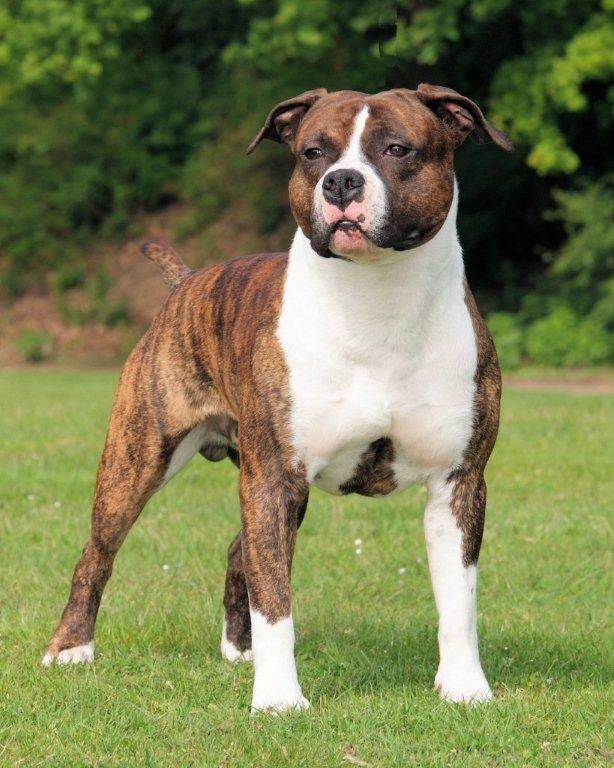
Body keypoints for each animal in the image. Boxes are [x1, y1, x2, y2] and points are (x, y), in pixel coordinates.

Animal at [43, 84, 513, 711]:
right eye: (313, 152)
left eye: (397, 148)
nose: (341, 182)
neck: (375, 301)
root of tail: (186, 280)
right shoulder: (272, 480)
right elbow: (276, 602)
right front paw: (278, 700)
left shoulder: (458, 485)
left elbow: (459, 601)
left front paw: (464, 688)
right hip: (137, 462)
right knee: (96, 554)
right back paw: (71, 647)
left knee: (238, 552)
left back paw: (236, 648)